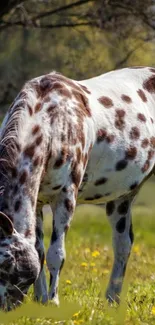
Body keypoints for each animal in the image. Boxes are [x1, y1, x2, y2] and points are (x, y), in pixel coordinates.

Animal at [0, 66, 154, 308]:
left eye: (7, 266)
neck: (52, 121)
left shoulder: (65, 198)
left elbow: (56, 254)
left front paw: (53, 301)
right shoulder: (38, 201)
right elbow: (38, 251)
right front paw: (41, 299)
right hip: (121, 199)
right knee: (123, 245)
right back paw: (112, 299)